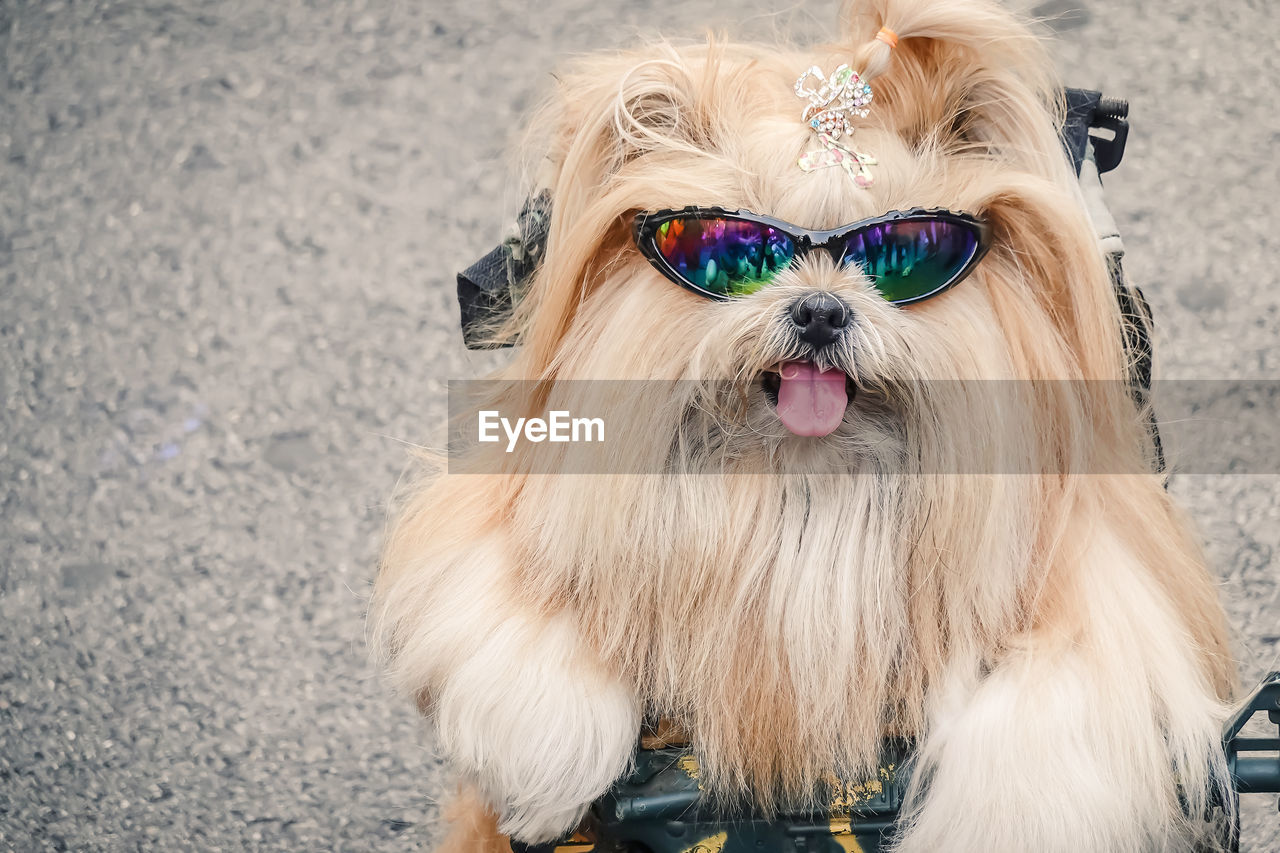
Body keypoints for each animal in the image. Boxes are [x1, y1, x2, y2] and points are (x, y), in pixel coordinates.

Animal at [371, 3, 1239, 845]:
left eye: (903, 254)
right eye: (731, 249)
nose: (820, 310)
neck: (806, 482)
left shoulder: (1110, 572)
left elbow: (1055, 703)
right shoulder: (500, 511)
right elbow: (516, 607)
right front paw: (546, 767)